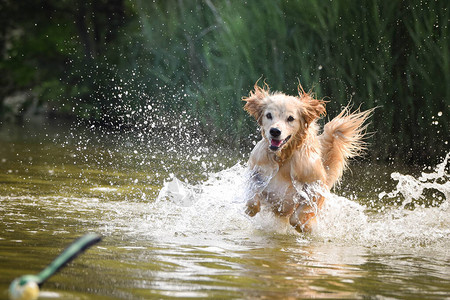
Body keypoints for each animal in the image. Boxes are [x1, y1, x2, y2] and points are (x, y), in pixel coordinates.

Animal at [243, 82, 372, 232]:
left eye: (290, 118)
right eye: (268, 115)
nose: (275, 131)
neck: (284, 158)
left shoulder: (316, 186)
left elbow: (297, 217)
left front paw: (306, 226)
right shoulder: (257, 172)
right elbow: (252, 200)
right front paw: (250, 209)